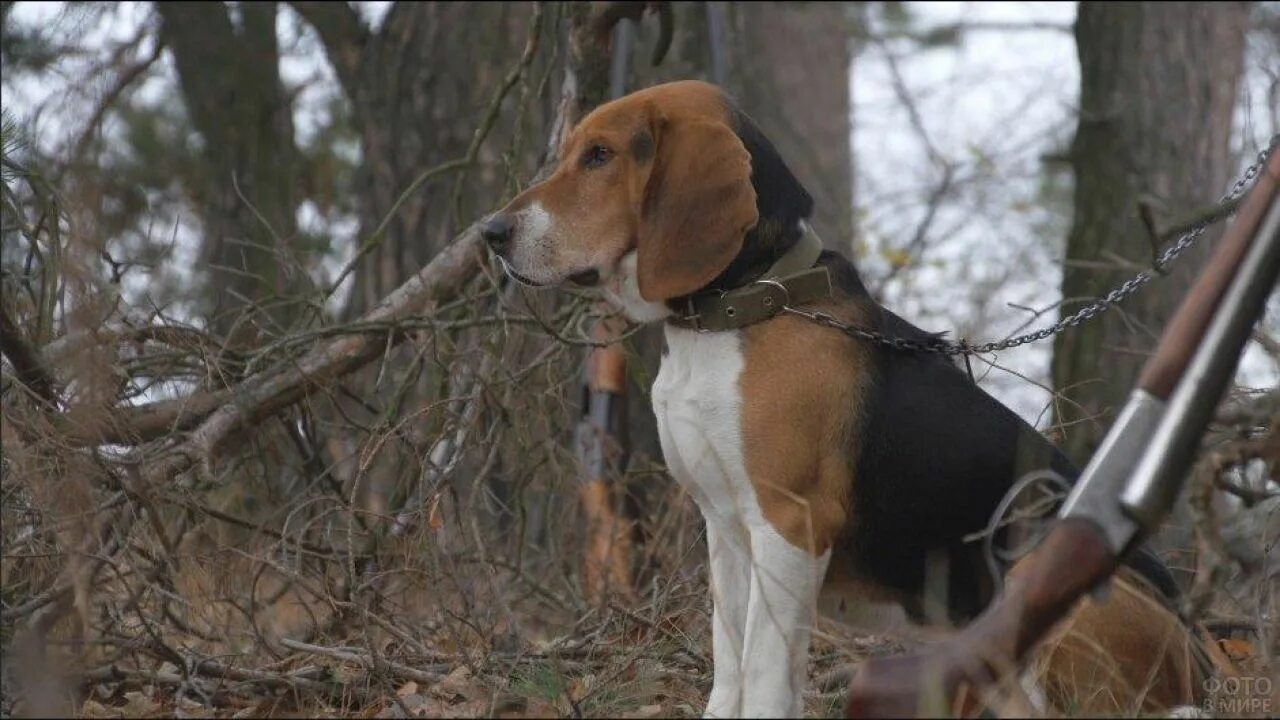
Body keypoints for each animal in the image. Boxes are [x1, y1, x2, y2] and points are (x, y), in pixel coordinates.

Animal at [483, 81, 1223, 712]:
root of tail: (1201, 666)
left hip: (1033, 578)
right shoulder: (724, 525)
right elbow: (729, 661)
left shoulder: (789, 523)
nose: (490, 233)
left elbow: (763, 673)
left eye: (600, 156)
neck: (740, 309)